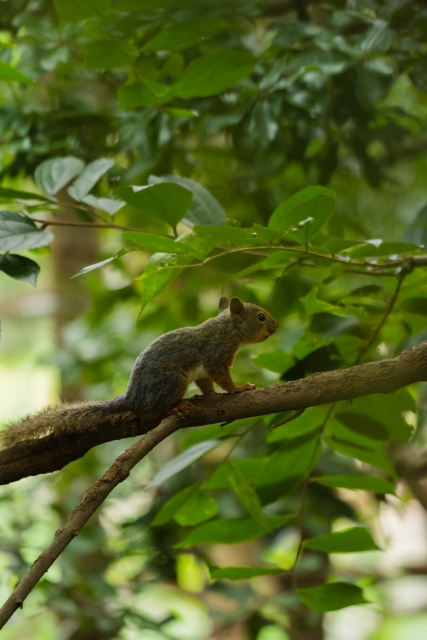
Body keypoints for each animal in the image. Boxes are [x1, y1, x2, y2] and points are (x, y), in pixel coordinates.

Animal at [0, 298, 280, 452]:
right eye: (261, 317)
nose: (276, 325)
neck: (227, 328)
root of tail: (132, 397)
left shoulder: (202, 371)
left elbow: (205, 383)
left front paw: (210, 395)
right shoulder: (216, 353)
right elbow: (221, 376)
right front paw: (238, 389)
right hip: (173, 381)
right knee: (151, 413)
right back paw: (175, 407)